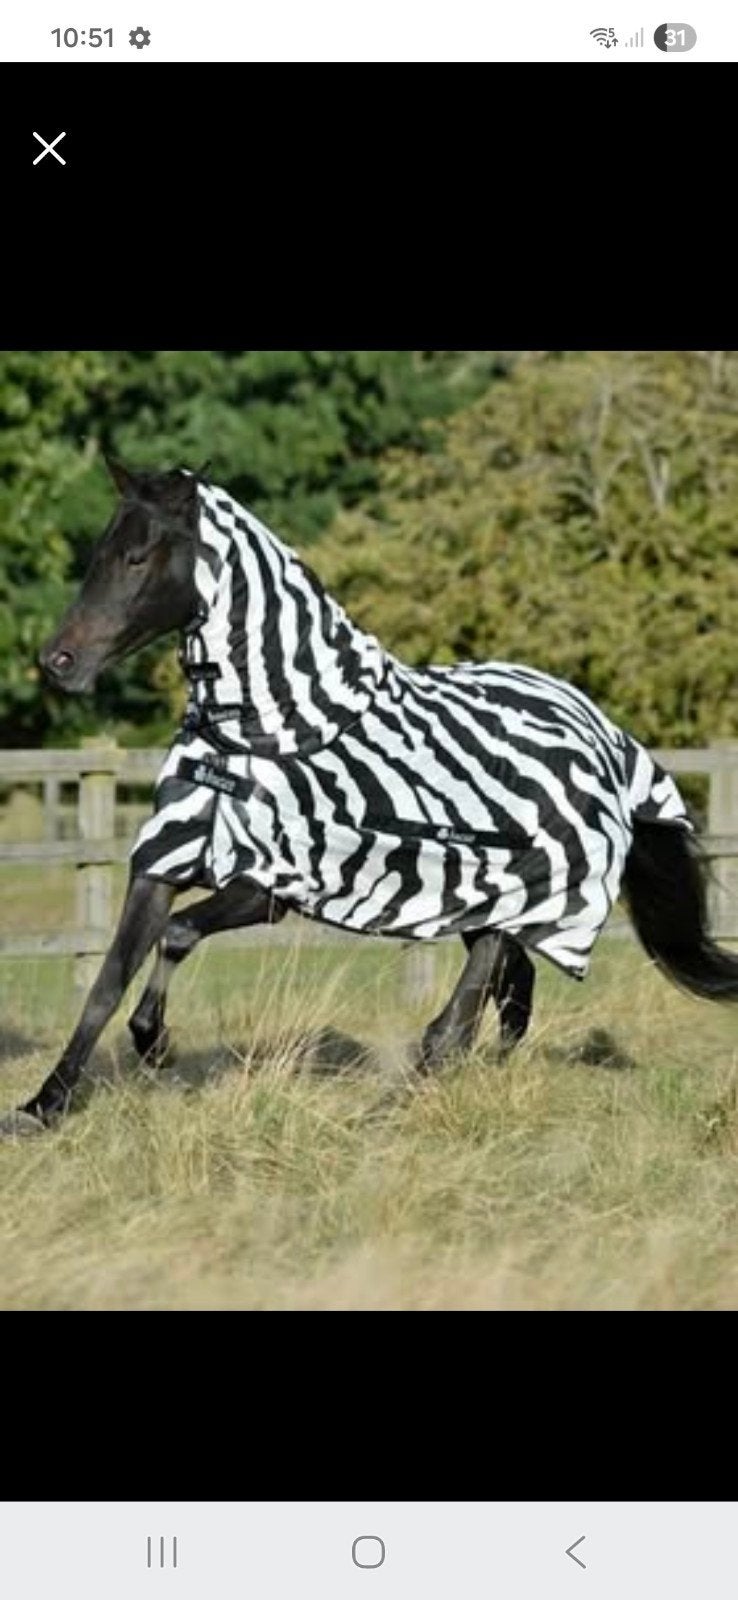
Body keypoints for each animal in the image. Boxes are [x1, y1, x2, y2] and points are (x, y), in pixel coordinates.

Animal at [4, 457, 738, 1136]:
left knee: (459, 1018)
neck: (265, 730)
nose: (58, 662)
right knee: (509, 997)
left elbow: (178, 936)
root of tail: (603, 731)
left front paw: (156, 1044)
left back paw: (388, 1111)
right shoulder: (160, 865)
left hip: (522, 896)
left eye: (137, 557)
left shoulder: (268, 886)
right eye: (99, 553)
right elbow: (105, 985)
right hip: (482, 903)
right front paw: (45, 1105)